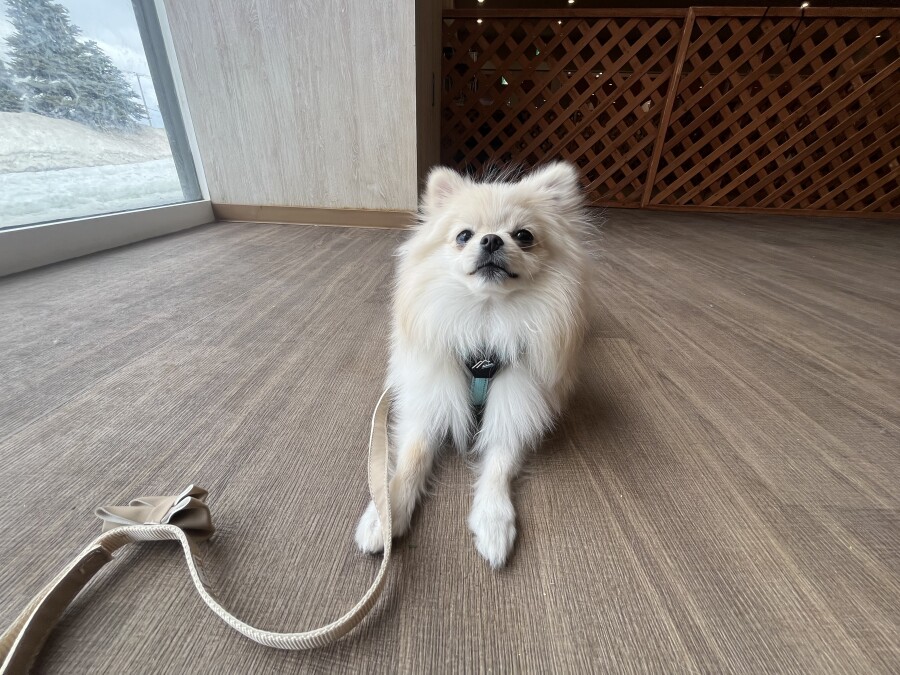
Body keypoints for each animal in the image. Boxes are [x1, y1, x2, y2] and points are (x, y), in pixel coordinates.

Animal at [355, 161, 592, 568]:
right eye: (464, 235)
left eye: (524, 235)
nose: (492, 240)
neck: (486, 319)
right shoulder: (430, 400)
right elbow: (413, 457)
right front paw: (383, 517)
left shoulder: (516, 405)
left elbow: (498, 464)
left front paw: (493, 522)